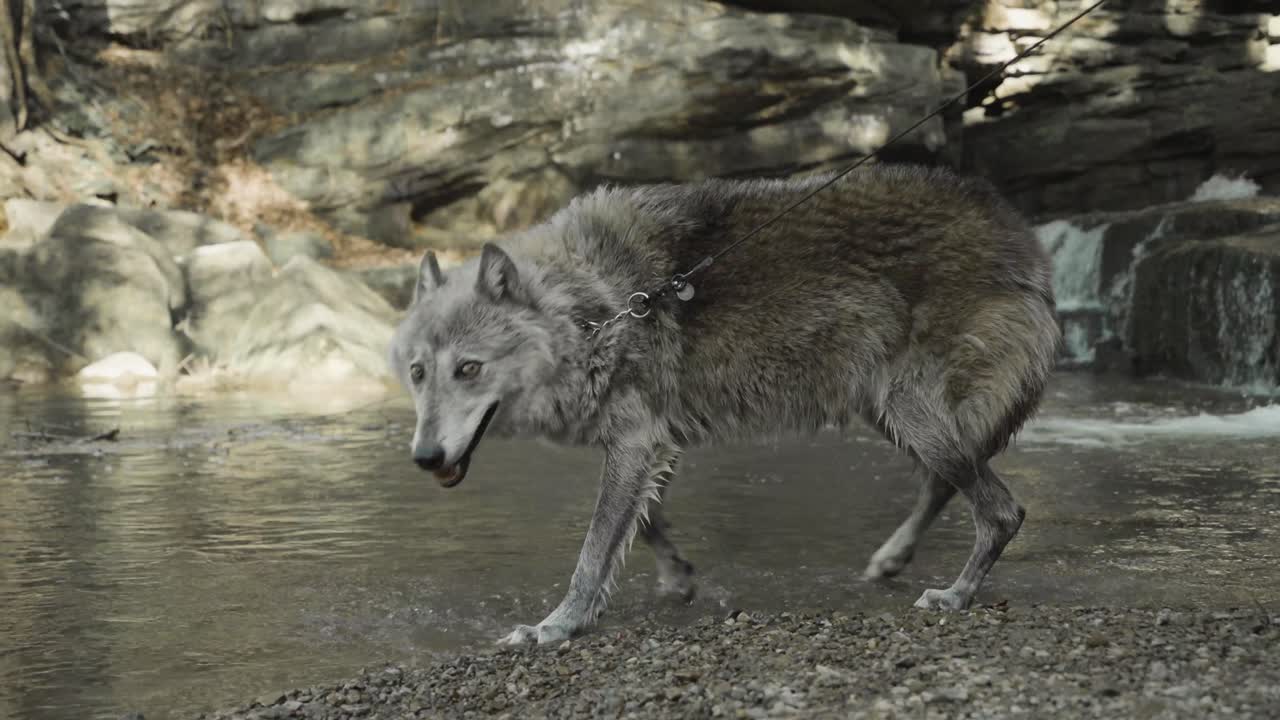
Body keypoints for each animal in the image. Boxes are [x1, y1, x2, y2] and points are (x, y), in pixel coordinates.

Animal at [387, 163, 1060, 645]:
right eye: (418, 372)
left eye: (468, 369)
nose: (423, 458)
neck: (593, 309)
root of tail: (1024, 240)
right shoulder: (654, 441)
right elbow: (643, 522)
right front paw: (677, 578)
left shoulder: (636, 440)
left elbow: (593, 549)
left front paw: (557, 626)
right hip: (891, 414)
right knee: (950, 484)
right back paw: (892, 560)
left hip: (909, 412)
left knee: (1002, 509)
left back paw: (956, 596)